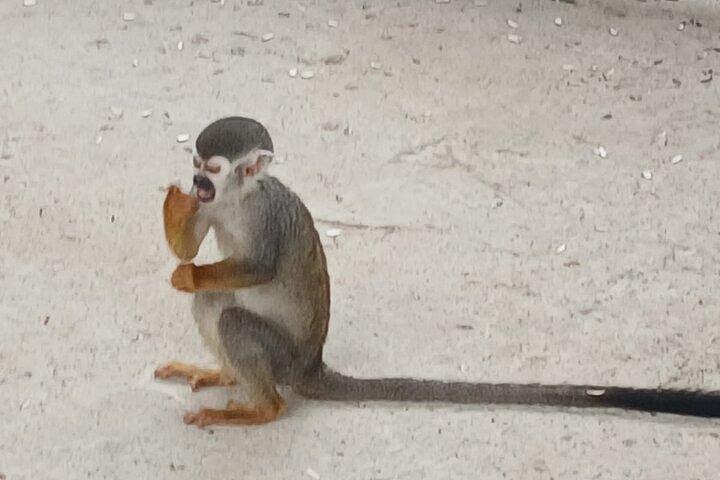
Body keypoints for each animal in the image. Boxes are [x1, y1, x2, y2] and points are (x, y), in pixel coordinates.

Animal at [155, 116, 720, 428]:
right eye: (197, 165)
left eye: (213, 169)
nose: (194, 182)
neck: (237, 200)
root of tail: (311, 366)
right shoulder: (214, 208)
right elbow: (189, 247)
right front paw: (176, 210)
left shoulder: (267, 215)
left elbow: (260, 266)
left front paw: (191, 274)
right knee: (217, 306)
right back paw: (227, 373)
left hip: (285, 358)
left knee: (233, 320)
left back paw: (262, 407)